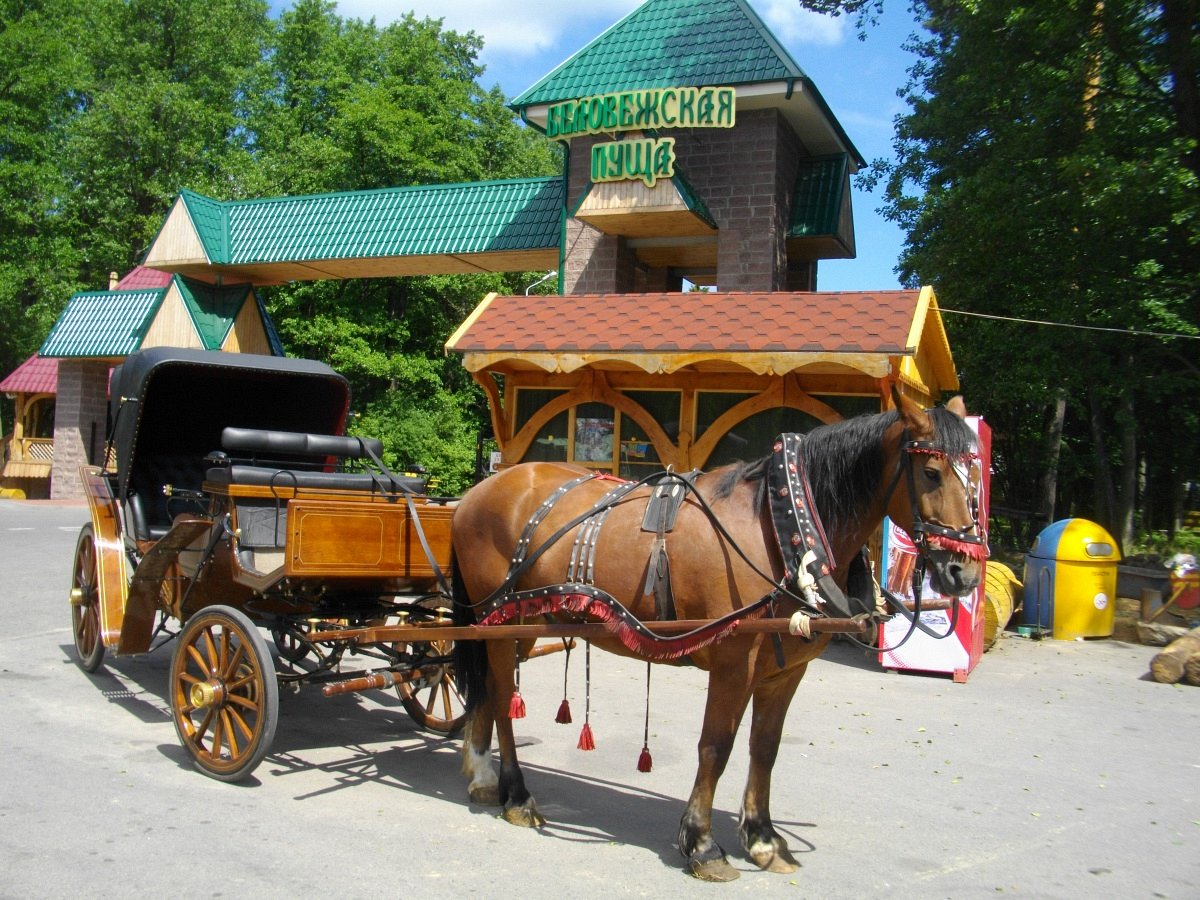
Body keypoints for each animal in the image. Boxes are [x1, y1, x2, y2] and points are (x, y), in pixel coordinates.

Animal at [451, 393, 984, 883]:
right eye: (931, 473)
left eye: (977, 477)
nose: (965, 573)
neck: (780, 527)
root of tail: (482, 489)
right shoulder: (734, 664)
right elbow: (716, 745)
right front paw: (701, 843)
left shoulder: (785, 671)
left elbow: (765, 748)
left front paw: (764, 839)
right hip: (498, 625)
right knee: (501, 698)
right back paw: (517, 795)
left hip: (520, 625)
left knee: (489, 694)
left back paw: (483, 777)